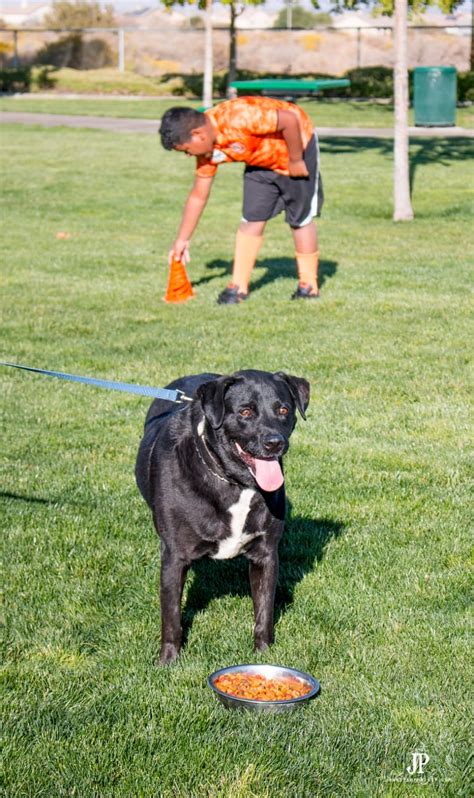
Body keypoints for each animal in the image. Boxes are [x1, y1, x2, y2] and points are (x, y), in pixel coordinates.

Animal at [135, 372, 310, 664]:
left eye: (284, 410)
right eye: (246, 412)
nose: (274, 442)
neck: (236, 483)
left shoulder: (266, 554)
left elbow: (264, 612)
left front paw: (263, 655)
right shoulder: (174, 557)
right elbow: (171, 616)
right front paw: (168, 661)